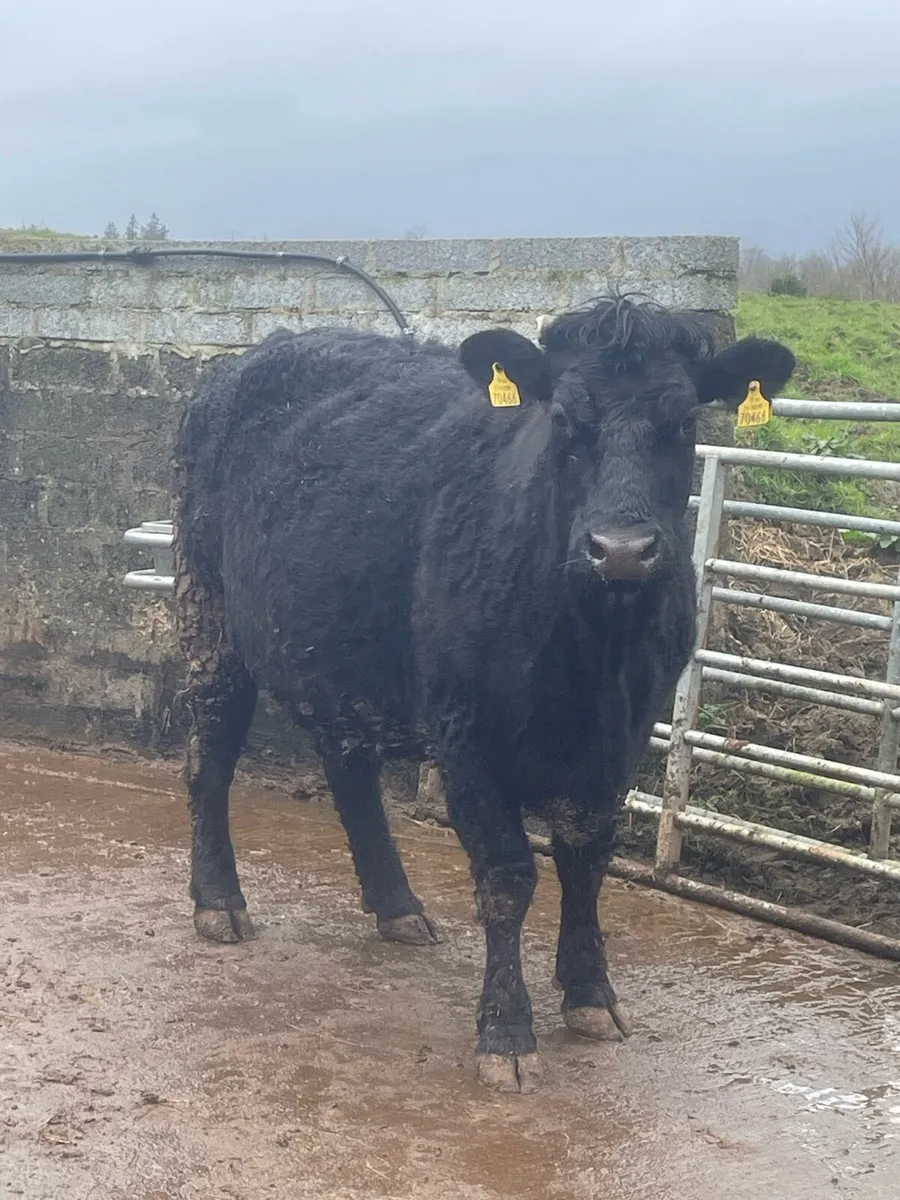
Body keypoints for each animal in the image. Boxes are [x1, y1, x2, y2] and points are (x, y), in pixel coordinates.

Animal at [172, 294, 795, 1093]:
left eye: (684, 421)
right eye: (564, 419)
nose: (621, 551)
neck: (589, 658)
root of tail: (248, 360)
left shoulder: (624, 738)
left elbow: (588, 858)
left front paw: (590, 994)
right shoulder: (467, 733)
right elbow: (507, 875)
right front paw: (506, 1030)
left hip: (339, 648)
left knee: (350, 771)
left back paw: (397, 907)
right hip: (210, 614)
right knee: (210, 756)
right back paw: (219, 902)